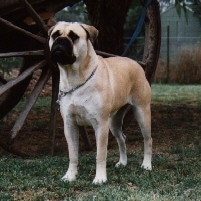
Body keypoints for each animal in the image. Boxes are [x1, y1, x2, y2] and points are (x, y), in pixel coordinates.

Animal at [49, 21, 152, 184]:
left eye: (74, 36)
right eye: (55, 35)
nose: (60, 41)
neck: (75, 78)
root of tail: (135, 63)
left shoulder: (100, 125)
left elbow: (100, 154)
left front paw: (100, 178)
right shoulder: (69, 124)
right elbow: (73, 154)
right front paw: (70, 175)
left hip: (142, 113)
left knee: (148, 139)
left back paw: (147, 165)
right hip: (114, 122)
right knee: (122, 138)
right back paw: (122, 162)